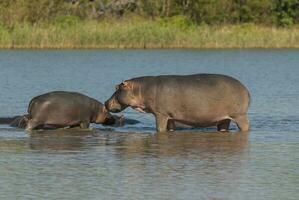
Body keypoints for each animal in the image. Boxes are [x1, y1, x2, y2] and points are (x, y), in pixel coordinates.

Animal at [105, 73, 251, 133]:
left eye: (117, 88)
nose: (105, 102)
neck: (140, 88)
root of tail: (245, 89)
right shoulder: (170, 116)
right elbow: (170, 128)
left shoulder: (161, 114)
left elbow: (160, 128)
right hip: (224, 119)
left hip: (240, 115)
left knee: (246, 126)